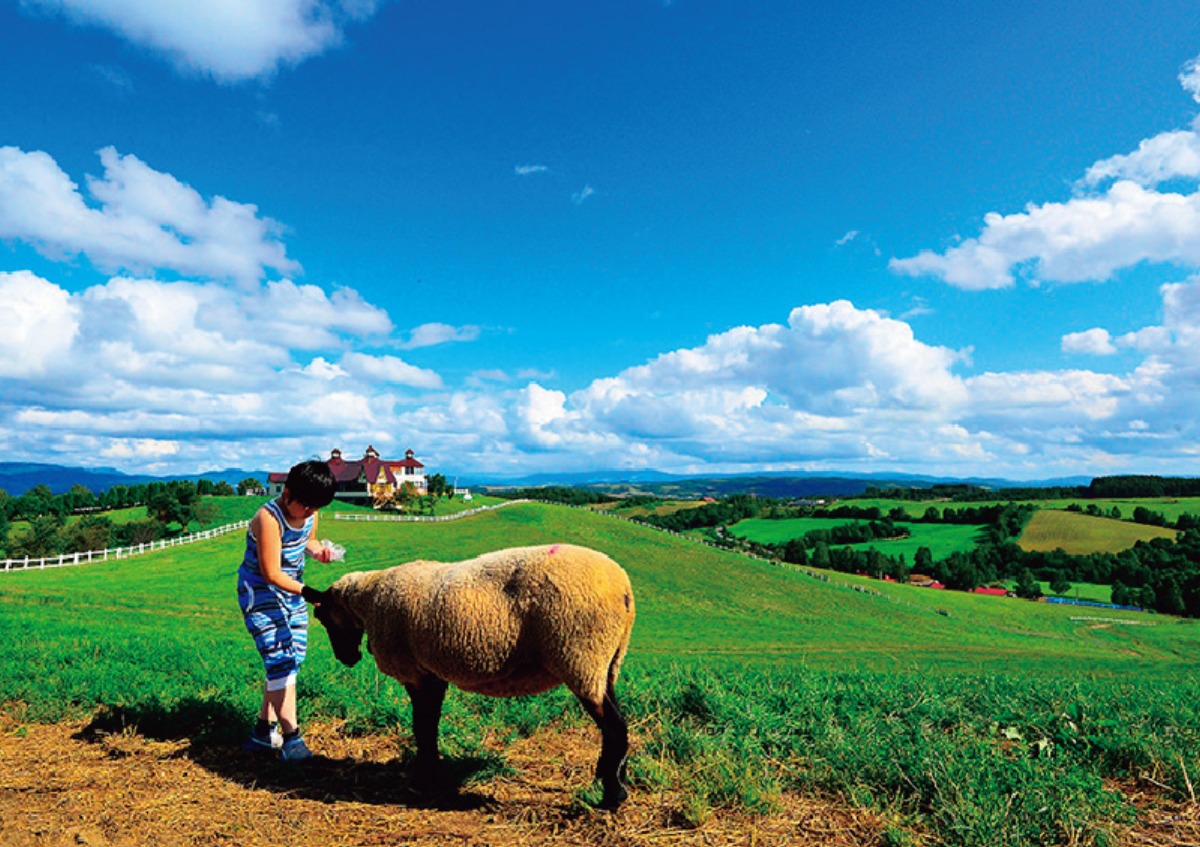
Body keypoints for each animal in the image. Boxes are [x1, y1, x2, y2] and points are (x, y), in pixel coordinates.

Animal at [302, 542, 638, 806]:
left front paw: (423, 778)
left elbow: (421, 726)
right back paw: (610, 778)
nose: (347, 658)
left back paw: (612, 795)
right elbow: (429, 725)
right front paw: (431, 772)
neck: (370, 600)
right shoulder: (431, 674)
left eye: (321, 616)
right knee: (616, 723)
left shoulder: (415, 673)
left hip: (581, 655)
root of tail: (624, 588)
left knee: (615, 728)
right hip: (608, 662)